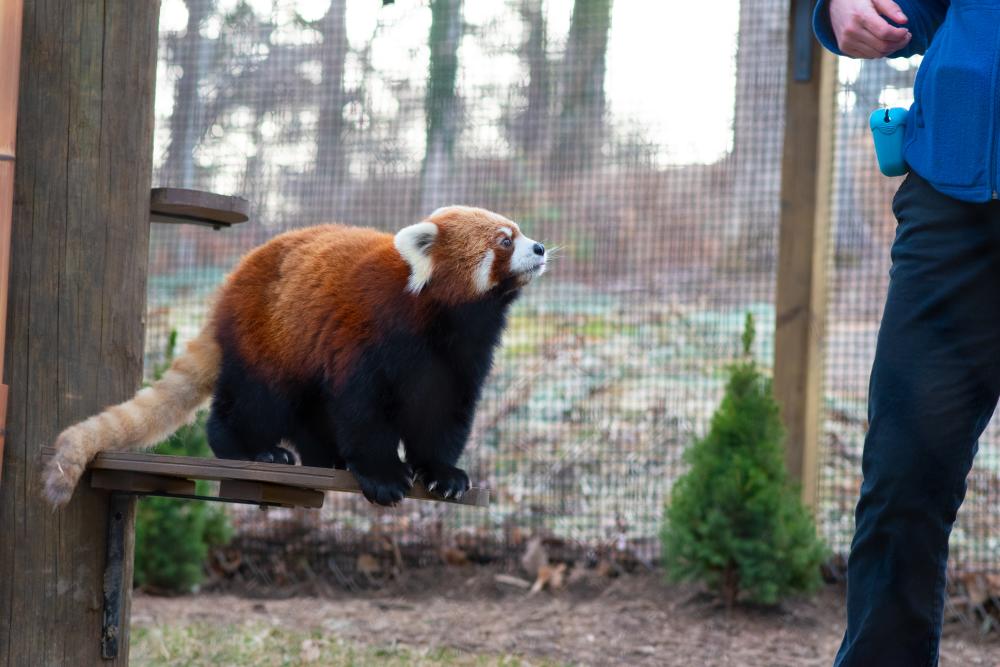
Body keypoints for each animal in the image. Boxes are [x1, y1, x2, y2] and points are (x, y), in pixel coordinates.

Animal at [43, 205, 548, 506]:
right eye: (505, 240)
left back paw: (326, 458)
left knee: (310, 410)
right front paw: (384, 475)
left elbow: (444, 414)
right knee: (255, 402)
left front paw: (443, 474)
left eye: (520, 232)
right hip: (269, 339)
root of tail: (228, 289)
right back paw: (253, 450)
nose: (540, 247)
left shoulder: (462, 354)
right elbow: (363, 408)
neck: (441, 317)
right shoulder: (367, 332)